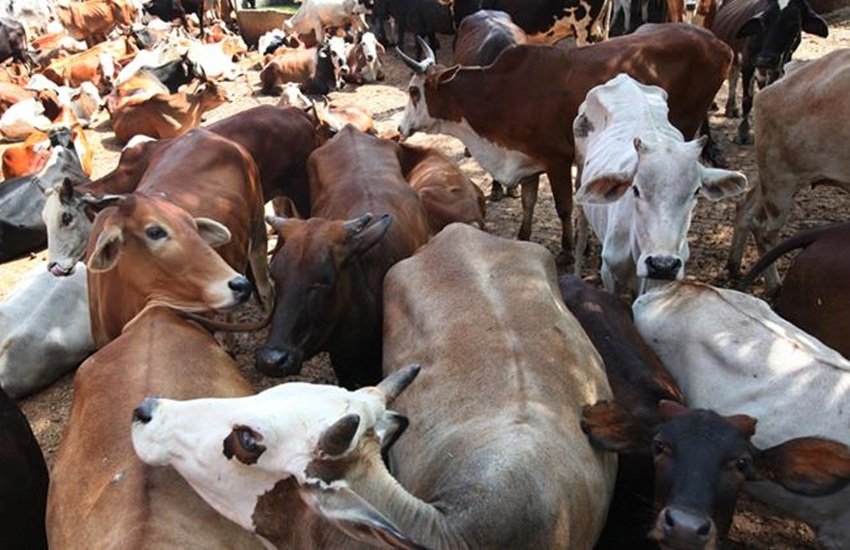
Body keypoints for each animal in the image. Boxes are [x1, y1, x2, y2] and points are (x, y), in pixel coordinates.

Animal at [398, 24, 733, 266]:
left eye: (414, 91)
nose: (400, 128)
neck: (502, 93)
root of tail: (718, 43)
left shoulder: (557, 160)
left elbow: (563, 206)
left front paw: (567, 250)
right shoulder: (526, 158)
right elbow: (528, 201)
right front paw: (523, 236)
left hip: (685, 128)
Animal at [573, 74, 748, 293]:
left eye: (696, 191)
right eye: (635, 189)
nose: (662, 264)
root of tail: (623, 78)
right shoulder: (609, 273)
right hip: (580, 176)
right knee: (581, 235)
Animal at [710, 0, 828, 144]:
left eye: (795, 23)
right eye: (762, 21)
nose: (764, 59)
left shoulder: (779, 67)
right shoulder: (748, 63)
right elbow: (747, 99)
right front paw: (742, 133)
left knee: (734, 77)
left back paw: (731, 108)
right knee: (733, 77)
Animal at [727, 50, 850, 289]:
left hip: (770, 175)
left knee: (745, 207)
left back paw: (734, 266)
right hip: (780, 182)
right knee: (763, 230)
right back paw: (774, 286)